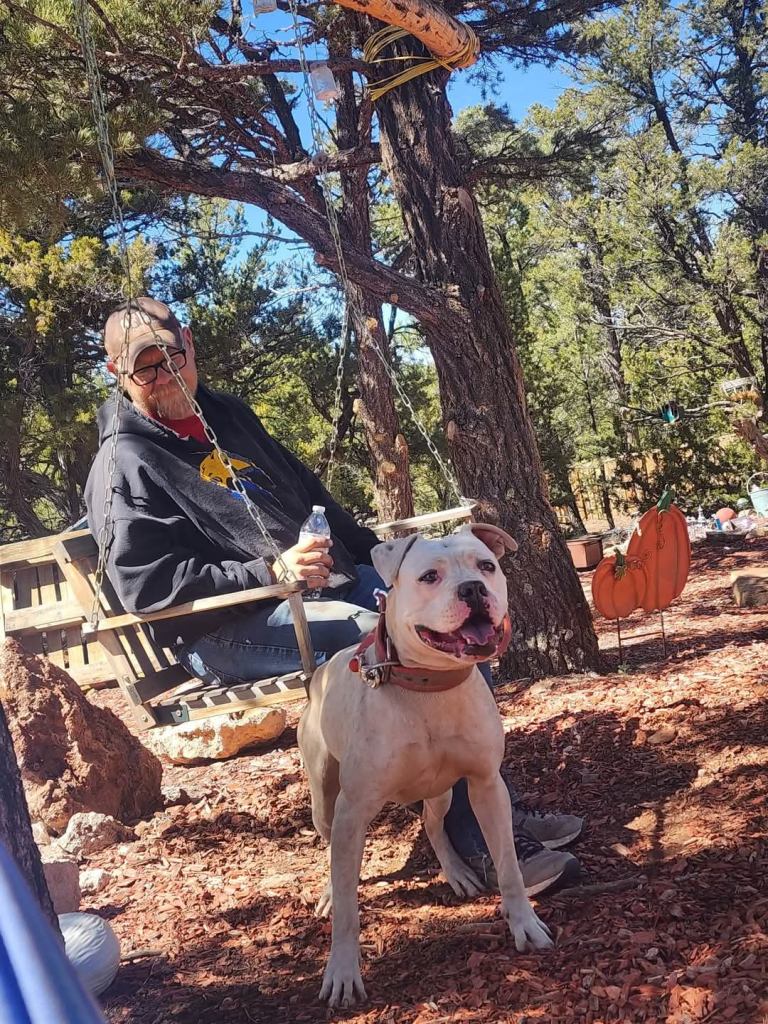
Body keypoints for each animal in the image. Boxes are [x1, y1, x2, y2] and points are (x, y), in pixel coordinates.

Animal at [297, 523, 553, 1007]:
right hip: (325, 799)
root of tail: (323, 670)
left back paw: (457, 872)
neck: (429, 685)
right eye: (429, 576)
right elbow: (348, 910)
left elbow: (508, 867)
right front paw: (342, 971)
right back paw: (327, 892)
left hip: (441, 790)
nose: (472, 588)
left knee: (433, 825)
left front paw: (524, 924)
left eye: (486, 566)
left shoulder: (486, 786)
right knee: (328, 845)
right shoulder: (353, 812)